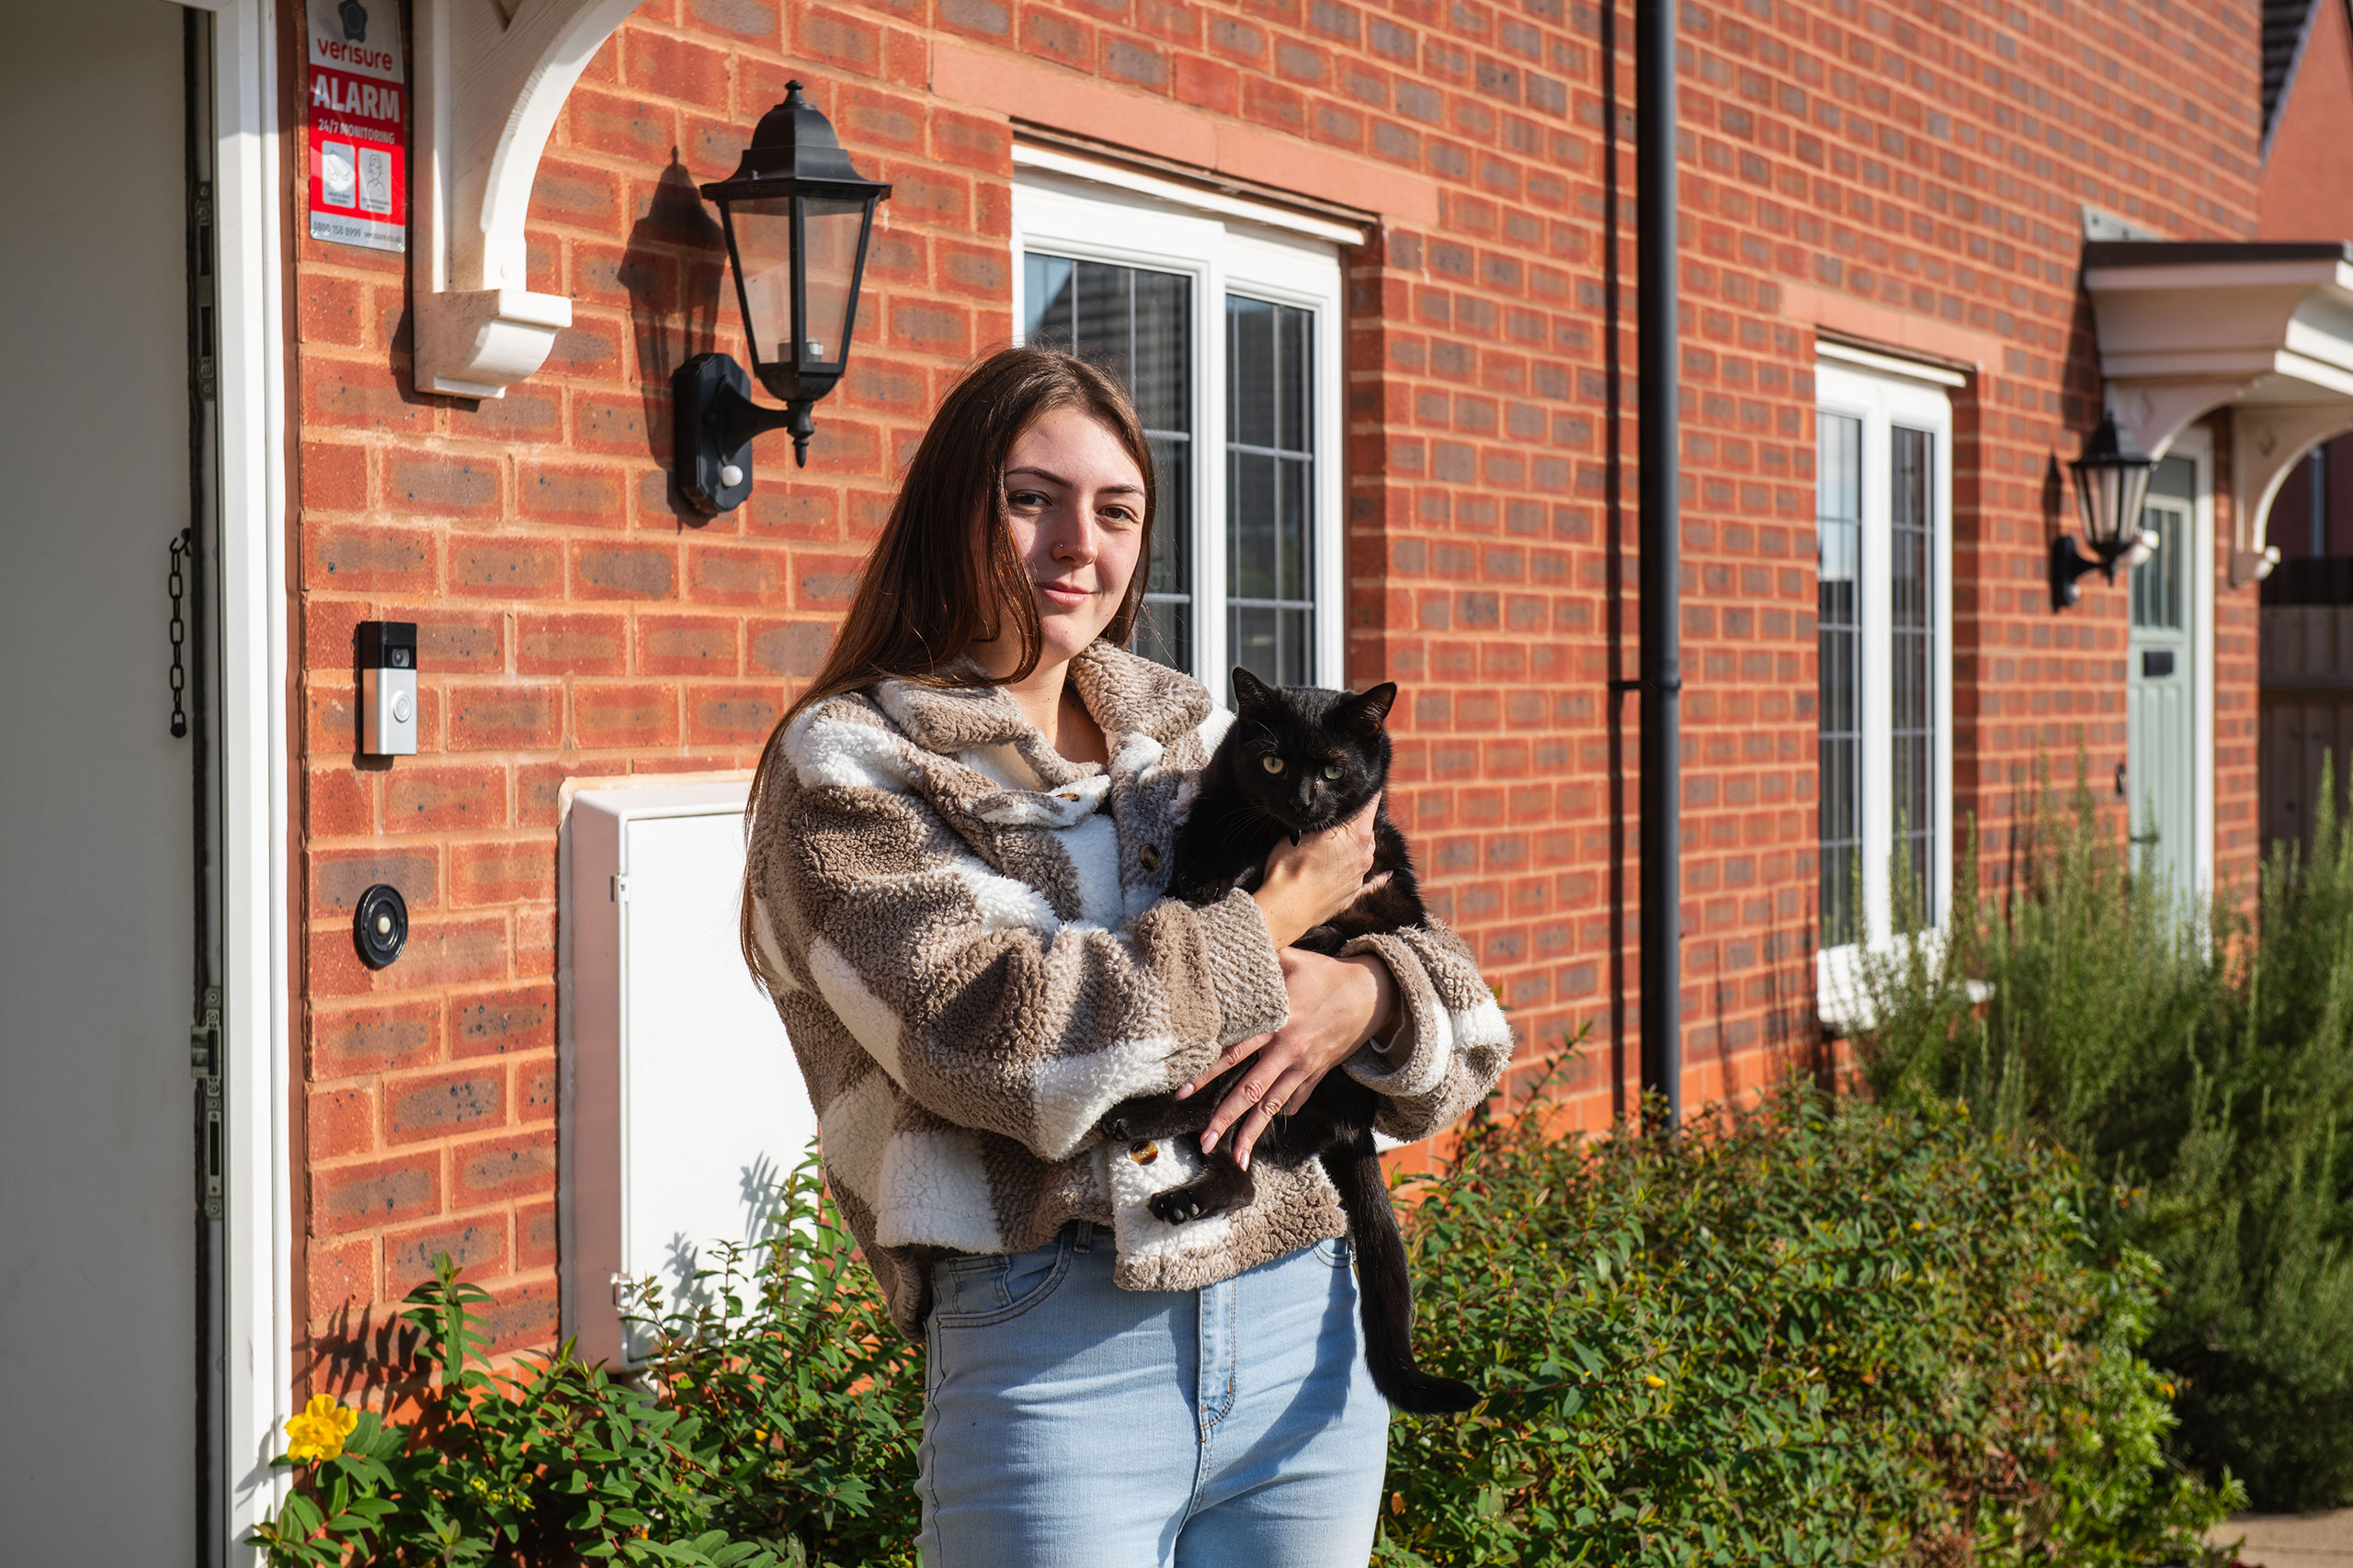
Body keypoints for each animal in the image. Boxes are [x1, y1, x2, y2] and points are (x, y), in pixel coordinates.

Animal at [1101, 664, 1468, 1412]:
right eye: (1272, 763)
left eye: (1332, 769)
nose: (1301, 801)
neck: (1275, 836)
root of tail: (1355, 1125)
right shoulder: (1217, 805)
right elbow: (1208, 844)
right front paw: (1199, 879)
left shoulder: (1379, 874)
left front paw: (1225, 881)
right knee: (1227, 1150)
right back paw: (1170, 1175)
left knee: (1224, 1116)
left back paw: (1148, 1136)